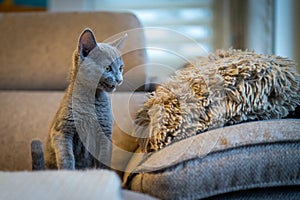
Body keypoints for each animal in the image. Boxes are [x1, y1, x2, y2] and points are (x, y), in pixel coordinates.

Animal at [31, 27, 126, 170]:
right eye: (107, 68)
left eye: (120, 68)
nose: (119, 80)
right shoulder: (62, 132)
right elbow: (67, 157)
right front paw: (69, 172)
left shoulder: (106, 133)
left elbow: (104, 158)